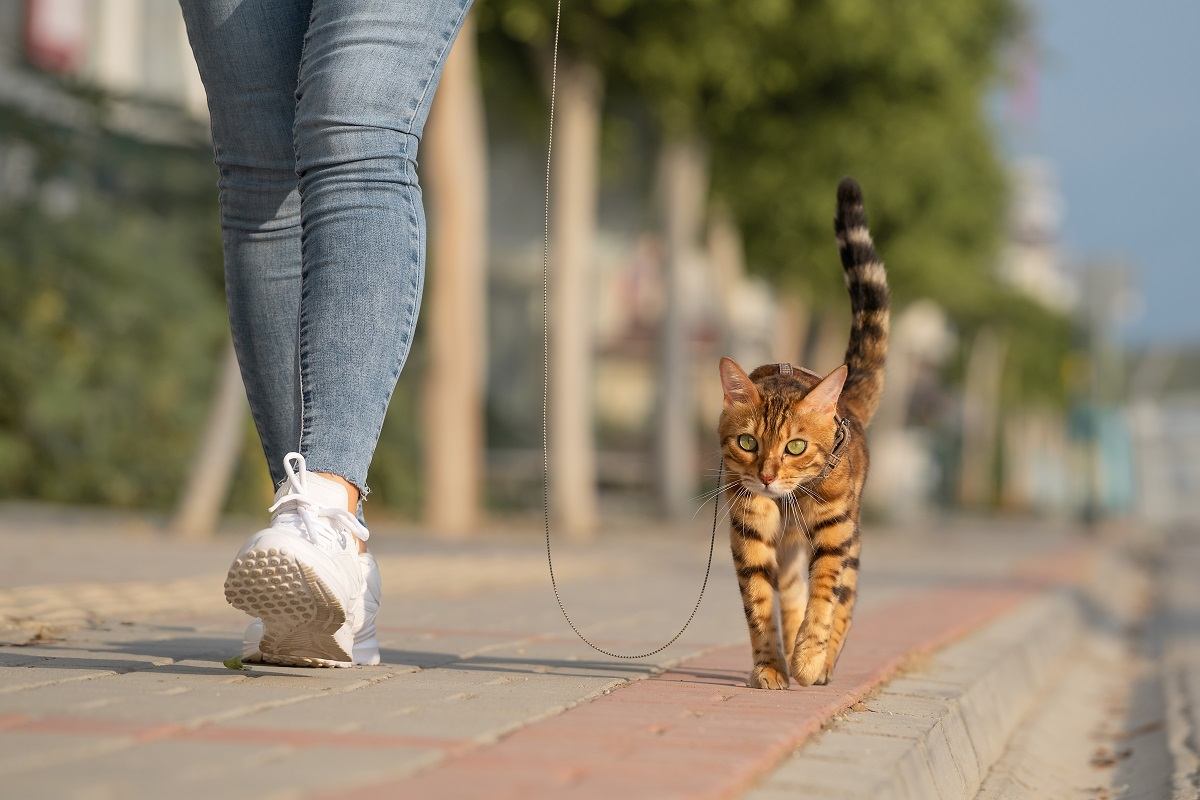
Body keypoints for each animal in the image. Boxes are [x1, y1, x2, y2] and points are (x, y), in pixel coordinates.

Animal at [715, 176, 888, 690]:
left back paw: (822, 664)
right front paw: (771, 666)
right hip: (788, 549)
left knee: (846, 596)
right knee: (790, 591)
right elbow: (758, 604)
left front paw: (810, 657)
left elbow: (825, 596)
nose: (768, 477)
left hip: (851, 534)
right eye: (748, 443)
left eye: (795, 446)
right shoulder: (749, 530)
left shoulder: (835, 533)